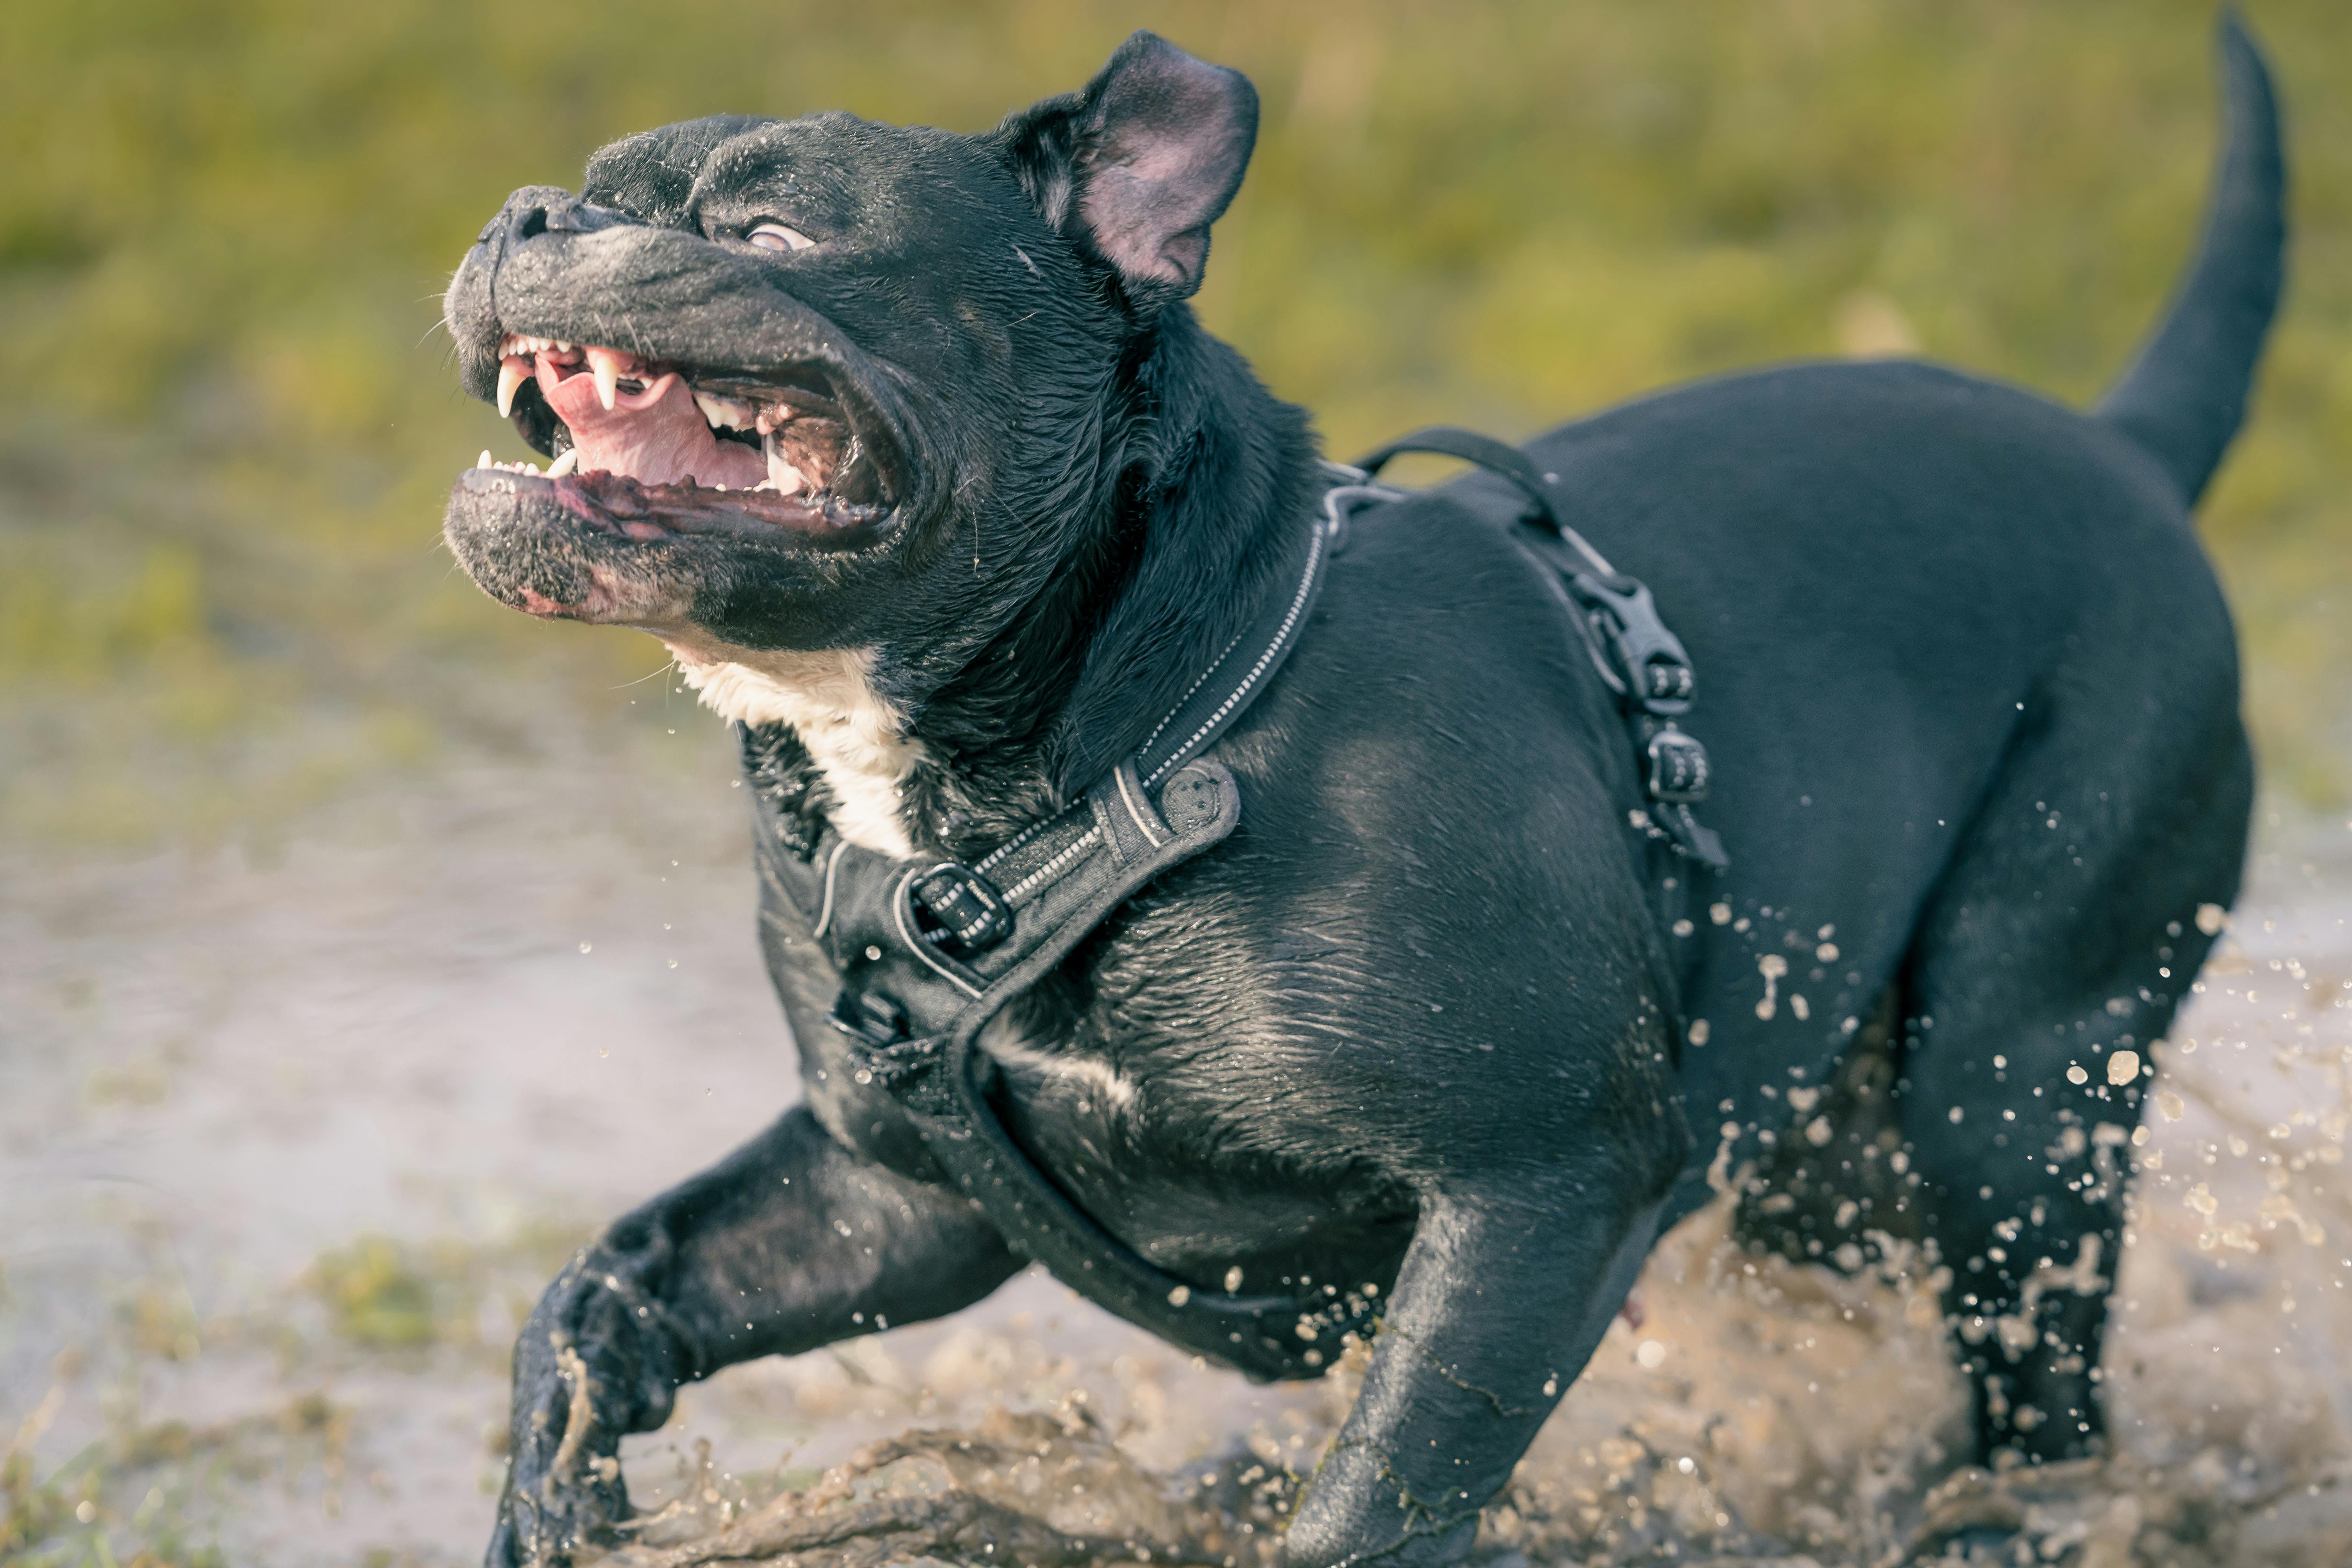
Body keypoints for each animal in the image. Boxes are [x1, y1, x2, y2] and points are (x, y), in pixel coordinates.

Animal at [437, 15, 2277, 1568]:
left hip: (2011, 1087)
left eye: (769, 237)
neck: (1111, 736)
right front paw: (561, 1489)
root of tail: (2121, 450)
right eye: (587, 186)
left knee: (2040, 1377)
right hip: (1836, 1142)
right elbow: (603, 1289)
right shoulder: (886, 1192)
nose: (527, 210)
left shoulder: (1535, 1189)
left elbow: (1378, 1495)